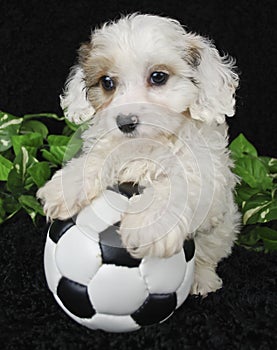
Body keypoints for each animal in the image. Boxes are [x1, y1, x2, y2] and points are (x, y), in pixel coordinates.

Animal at [37, 15, 240, 296]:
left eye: (158, 77)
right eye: (107, 83)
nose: (125, 122)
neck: (151, 142)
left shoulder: (208, 174)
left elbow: (183, 182)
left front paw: (149, 225)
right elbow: (101, 155)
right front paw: (67, 185)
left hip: (222, 227)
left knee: (207, 253)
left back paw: (202, 279)